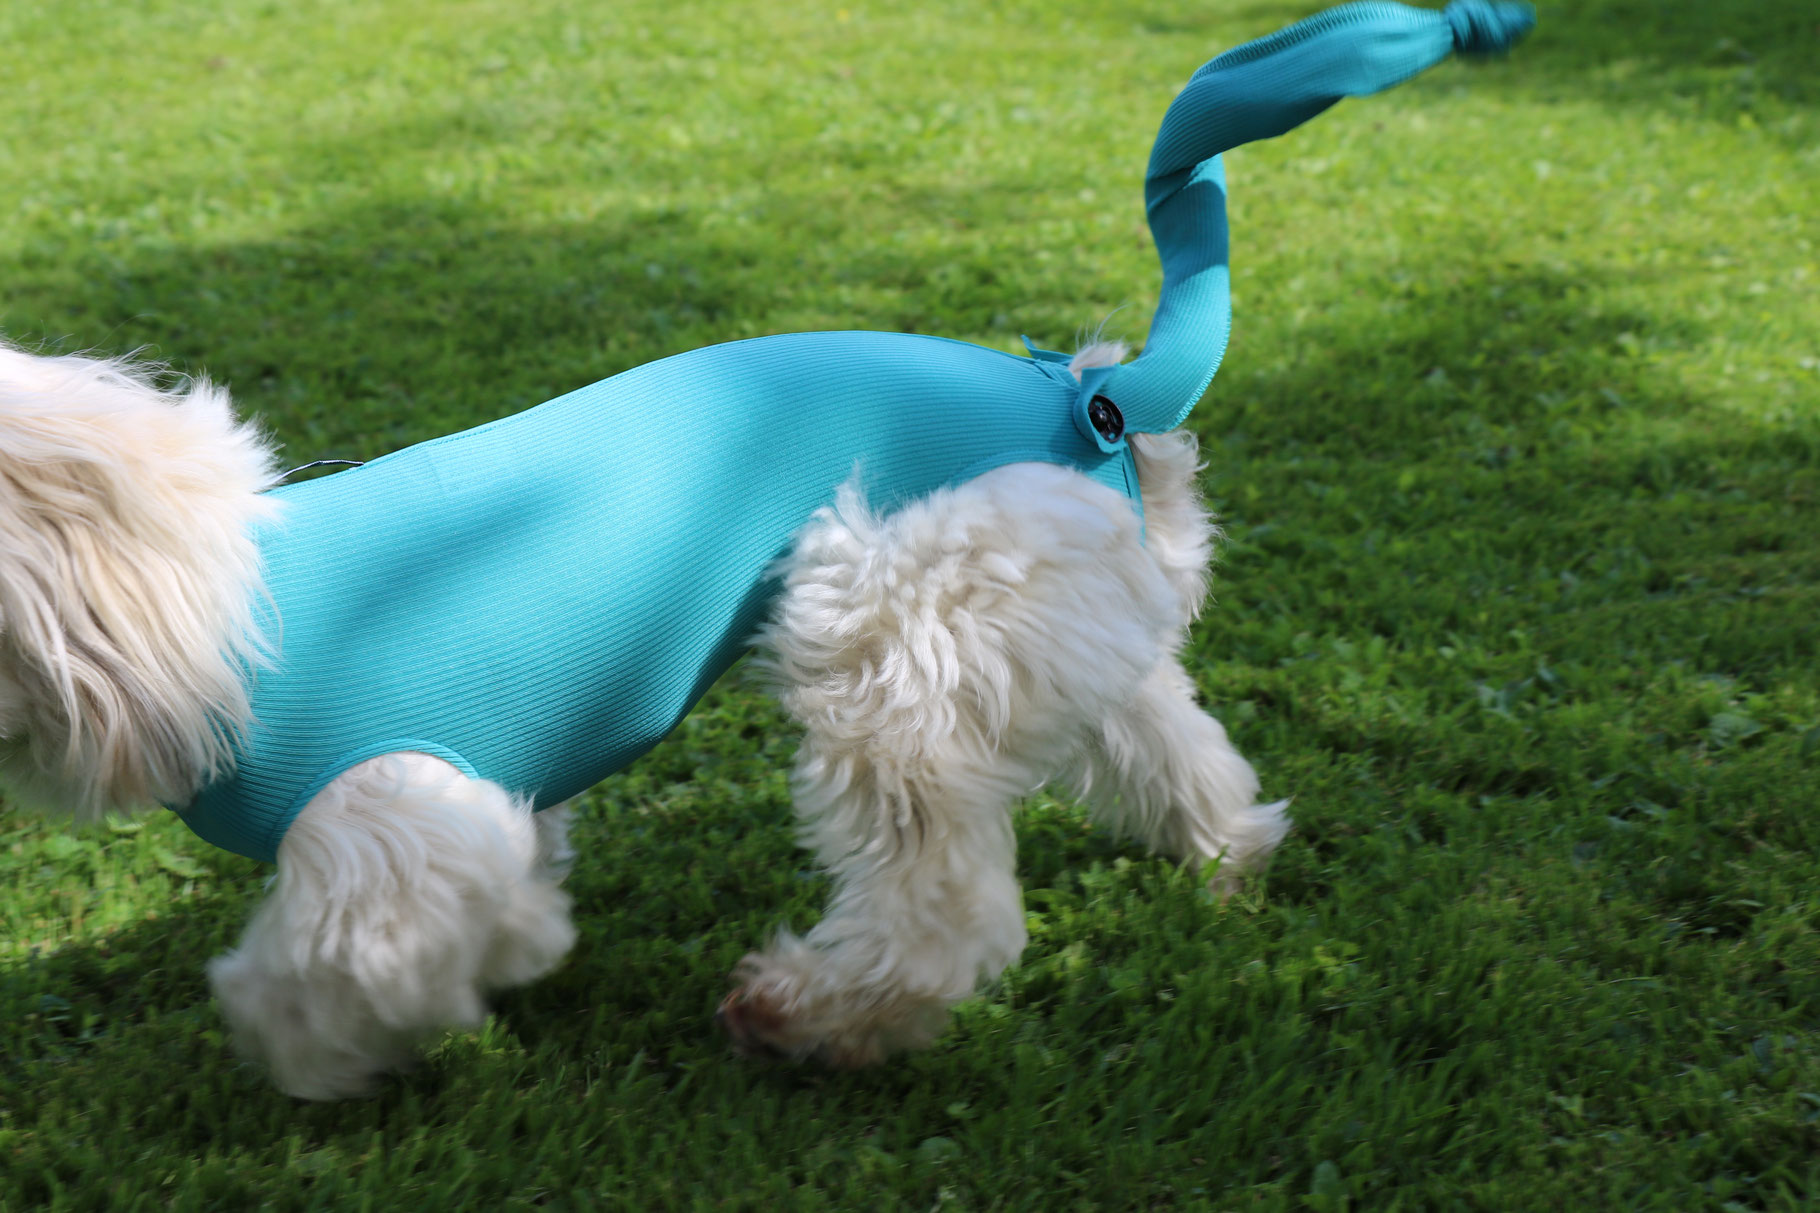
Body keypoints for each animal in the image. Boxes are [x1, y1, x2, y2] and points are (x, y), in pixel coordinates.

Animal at [0, 1, 1528, 1099]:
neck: (207, 593)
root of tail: (1088, 389)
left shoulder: (395, 826)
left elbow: (323, 973)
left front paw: (335, 1047)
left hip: (885, 626)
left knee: (948, 914)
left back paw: (809, 1015)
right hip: (1054, 614)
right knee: (1180, 748)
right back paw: (1226, 859)